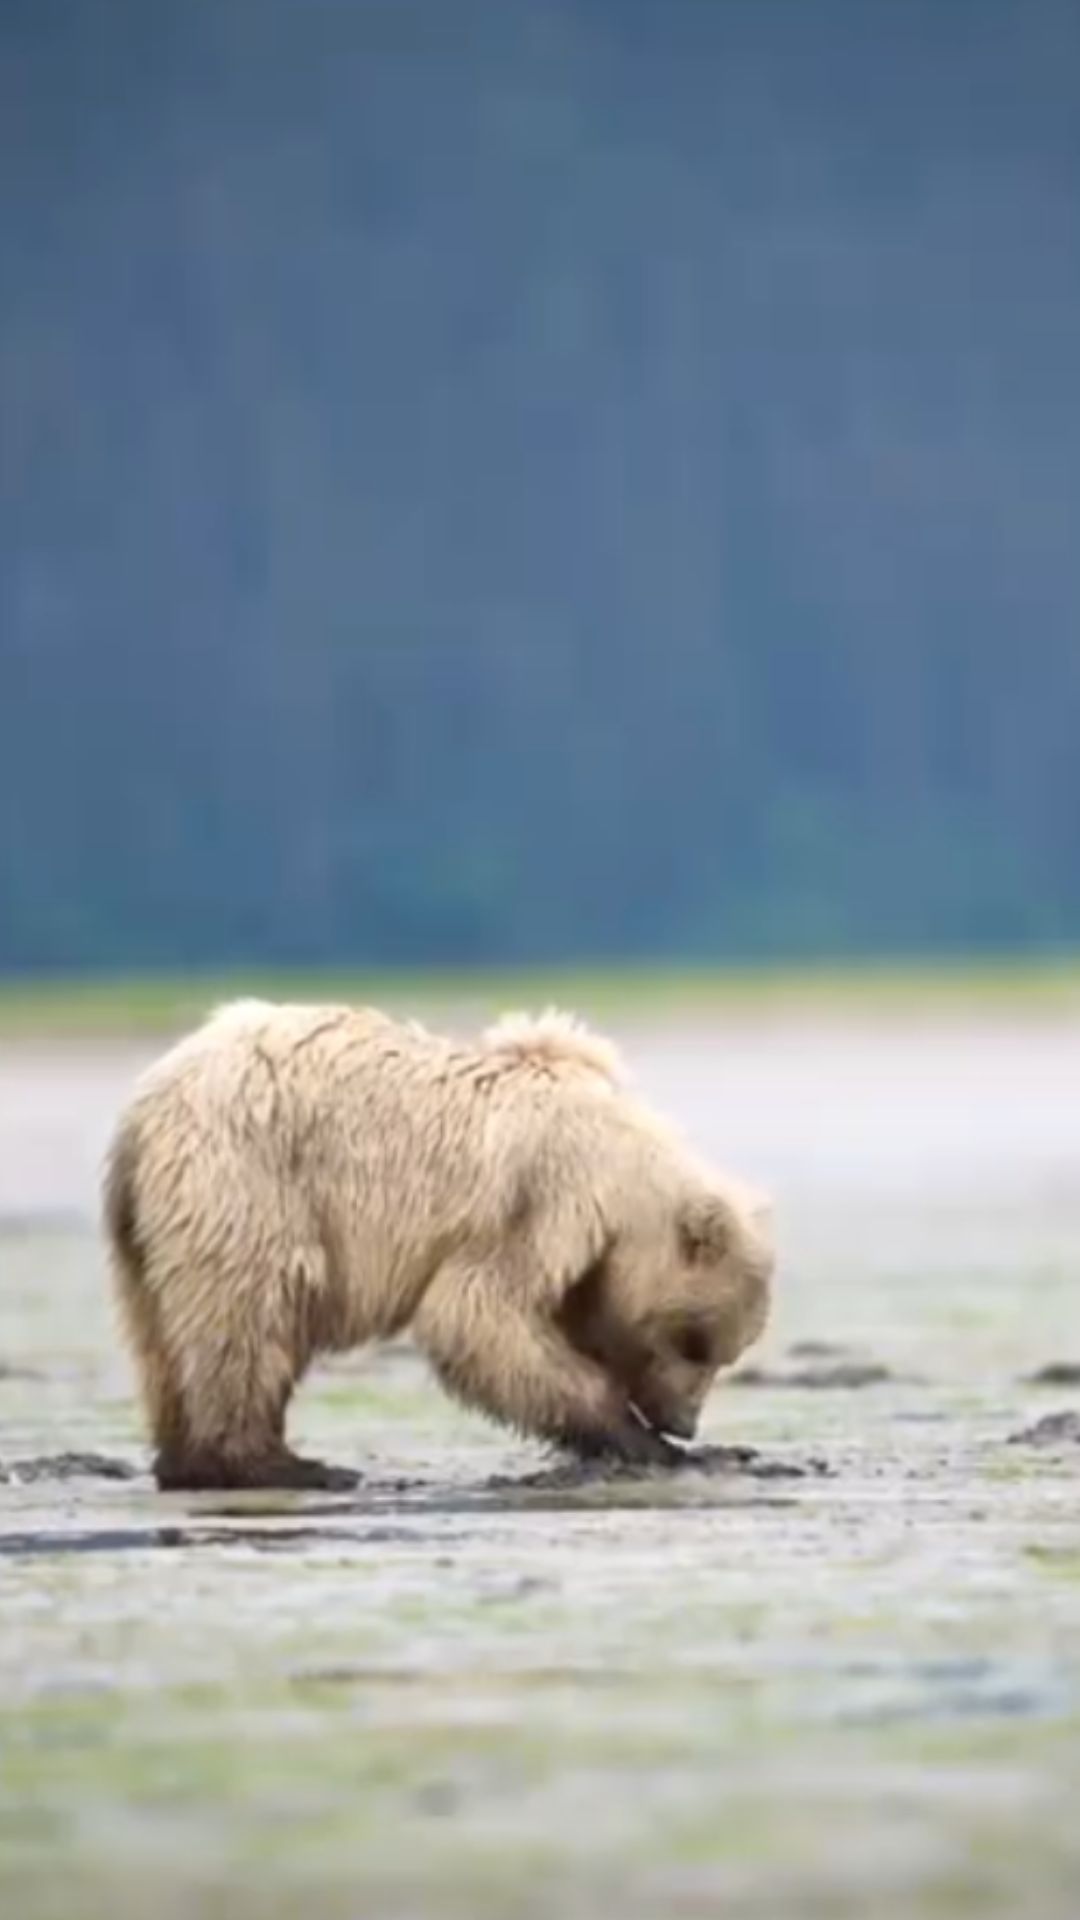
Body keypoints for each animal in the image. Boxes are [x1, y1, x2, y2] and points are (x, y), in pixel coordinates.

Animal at [103, 999, 774, 1490]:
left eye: (724, 1352)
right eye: (695, 1343)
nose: (684, 1423)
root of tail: (143, 1110)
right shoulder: (542, 1200)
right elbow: (476, 1317)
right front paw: (645, 1443)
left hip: (146, 1236)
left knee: (161, 1341)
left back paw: (187, 1460)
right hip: (249, 1182)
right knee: (251, 1313)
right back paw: (284, 1465)